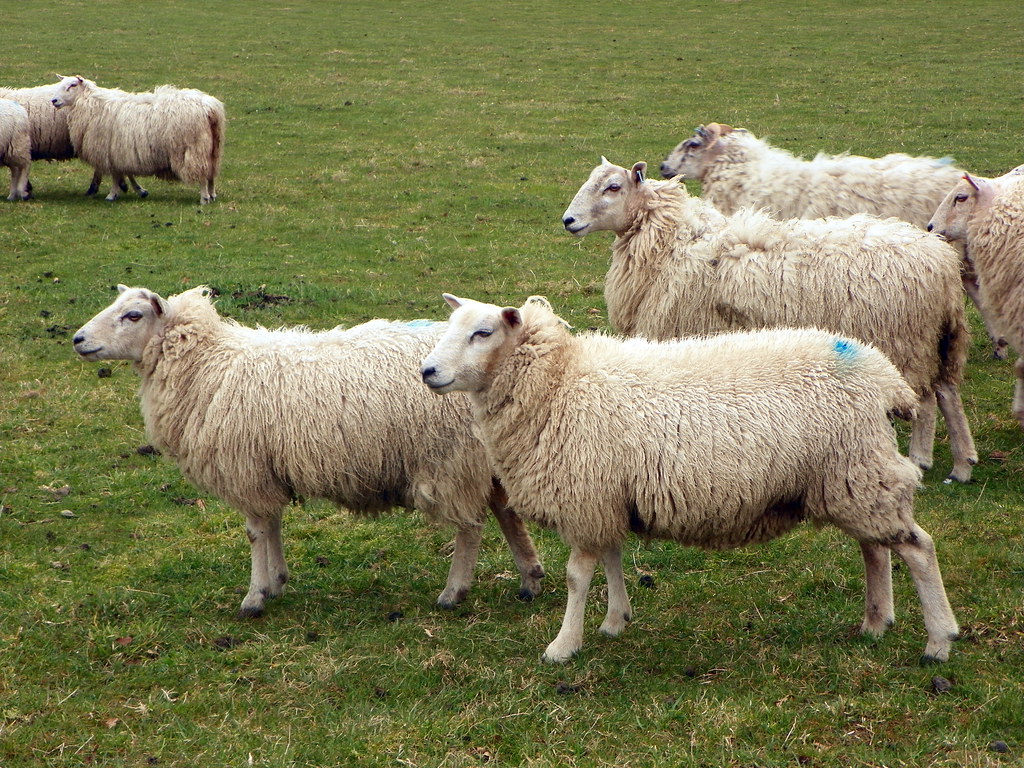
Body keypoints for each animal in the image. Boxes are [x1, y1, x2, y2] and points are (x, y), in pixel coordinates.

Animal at [51, 75, 224, 205]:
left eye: (72, 85)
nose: (54, 101)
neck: (91, 104)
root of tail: (210, 109)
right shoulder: (120, 152)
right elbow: (124, 173)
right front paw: (135, 191)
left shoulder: (110, 151)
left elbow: (115, 176)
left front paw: (111, 195)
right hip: (213, 148)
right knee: (211, 174)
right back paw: (212, 195)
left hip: (194, 148)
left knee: (202, 174)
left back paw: (204, 198)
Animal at [72, 286, 544, 618]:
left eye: (132, 315)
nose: (78, 339)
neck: (207, 364)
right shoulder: (264, 470)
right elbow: (272, 525)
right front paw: (277, 580)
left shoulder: (245, 469)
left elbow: (255, 532)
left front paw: (254, 596)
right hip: (480, 457)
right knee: (505, 511)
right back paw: (530, 578)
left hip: (449, 459)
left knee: (470, 527)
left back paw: (453, 591)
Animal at [419, 294, 962, 667]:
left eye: (482, 332)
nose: (427, 372)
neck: (558, 382)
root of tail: (882, 375)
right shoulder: (608, 496)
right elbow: (613, 560)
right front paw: (615, 621)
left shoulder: (587, 497)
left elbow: (577, 578)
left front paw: (563, 645)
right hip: (850, 478)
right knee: (876, 549)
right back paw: (874, 622)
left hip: (859, 471)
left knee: (918, 548)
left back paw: (938, 640)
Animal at [565, 158, 978, 483]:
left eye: (613, 187)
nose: (569, 220)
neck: (673, 241)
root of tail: (941, 262)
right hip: (940, 338)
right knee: (948, 393)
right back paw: (963, 464)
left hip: (907, 339)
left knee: (926, 399)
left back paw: (921, 458)